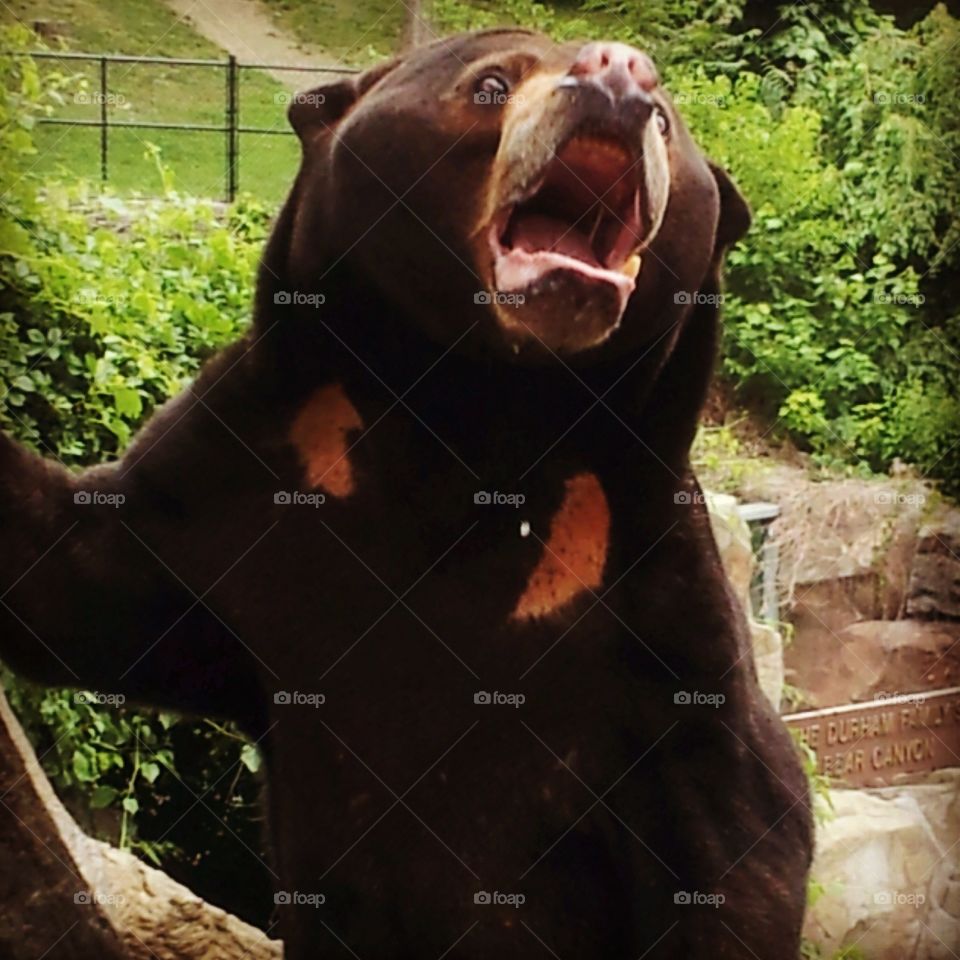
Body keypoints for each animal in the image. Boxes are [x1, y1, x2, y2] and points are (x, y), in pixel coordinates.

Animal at [0, 28, 812, 960]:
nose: (620, 70)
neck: (469, 414)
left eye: (669, 122)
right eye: (491, 85)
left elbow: (738, 822)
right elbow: (80, 580)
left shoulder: (648, 577)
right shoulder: (235, 481)